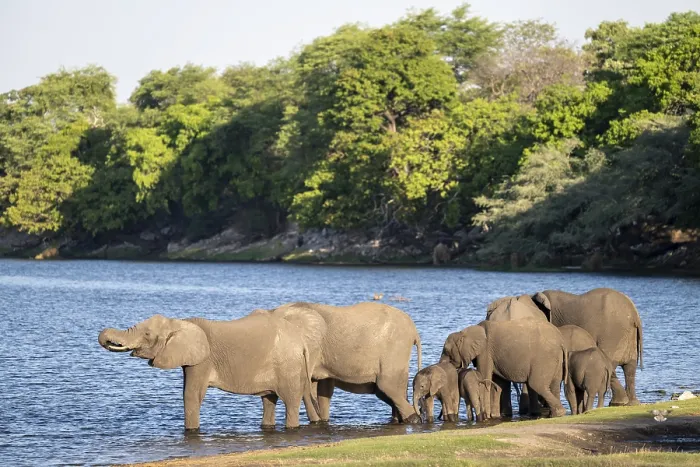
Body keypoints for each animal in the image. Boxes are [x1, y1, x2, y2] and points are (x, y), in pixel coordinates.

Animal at [98, 313, 319, 431]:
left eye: (147, 334)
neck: (179, 322)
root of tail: (301, 341)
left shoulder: (202, 360)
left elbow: (191, 395)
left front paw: (192, 431)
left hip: (288, 367)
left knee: (290, 401)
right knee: (270, 400)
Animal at [257, 301, 423, 424]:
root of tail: (415, 332)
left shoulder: (309, 347)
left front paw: (317, 421)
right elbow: (321, 389)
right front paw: (321, 421)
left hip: (395, 350)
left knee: (386, 386)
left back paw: (414, 419)